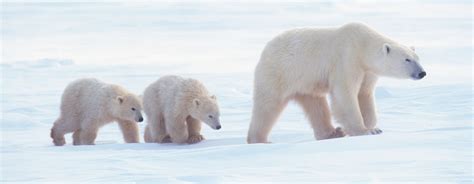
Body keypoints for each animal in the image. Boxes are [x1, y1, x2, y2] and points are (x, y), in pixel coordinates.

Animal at [248, 22, 426, 144]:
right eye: (407, 59)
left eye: (417, 58)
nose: (422, 73)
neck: (363, 44)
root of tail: (266, 48)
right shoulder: (347, 58)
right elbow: (345, 93)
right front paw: (363, 131)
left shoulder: (368, 71)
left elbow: (365, 94)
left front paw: (373, 128)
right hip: (279, 72)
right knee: (267, 106)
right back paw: (259, 140)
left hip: (305, 84)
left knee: (316, 106)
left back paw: (332, 133)